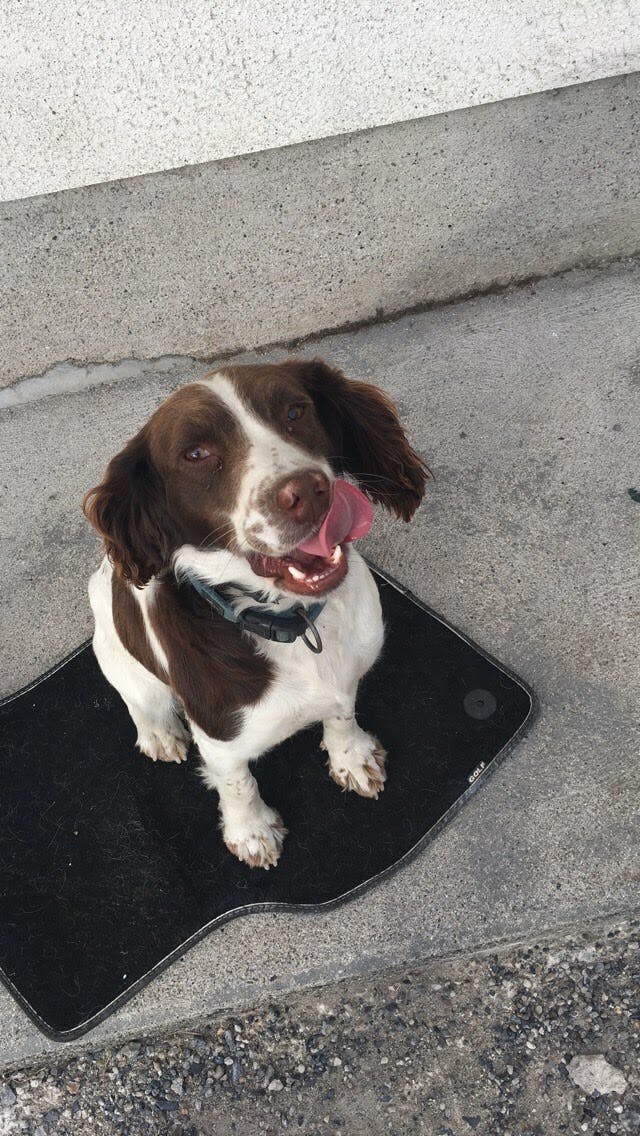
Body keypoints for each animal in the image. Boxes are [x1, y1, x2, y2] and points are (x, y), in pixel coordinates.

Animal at [82, 356, 427, 867]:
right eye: (196, 453)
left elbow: (341, 713)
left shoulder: (345, 678)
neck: (293, 622)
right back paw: (160, 734)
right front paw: (252, 832)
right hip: (122, 659)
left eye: (295, 411)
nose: (308, 491)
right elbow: (237, 783)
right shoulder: (220, 738)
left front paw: (351, 758)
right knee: (141, 702)